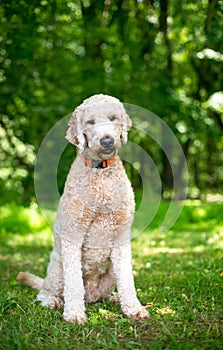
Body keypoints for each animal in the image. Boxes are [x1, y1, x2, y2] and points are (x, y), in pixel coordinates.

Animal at [17, 94, 150, 324]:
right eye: (90, 122)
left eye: (113, 118)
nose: (106, 140)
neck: (100, 174)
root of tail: (91, 294)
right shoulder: (73, 234)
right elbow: (73, 283)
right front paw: (74, 314)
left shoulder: (122, 235)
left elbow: (127, 279)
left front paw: (134, 308)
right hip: (57, 266)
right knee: (45, 292)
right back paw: (53, 301)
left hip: (109, 272)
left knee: (106, 291)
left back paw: (113, 298)